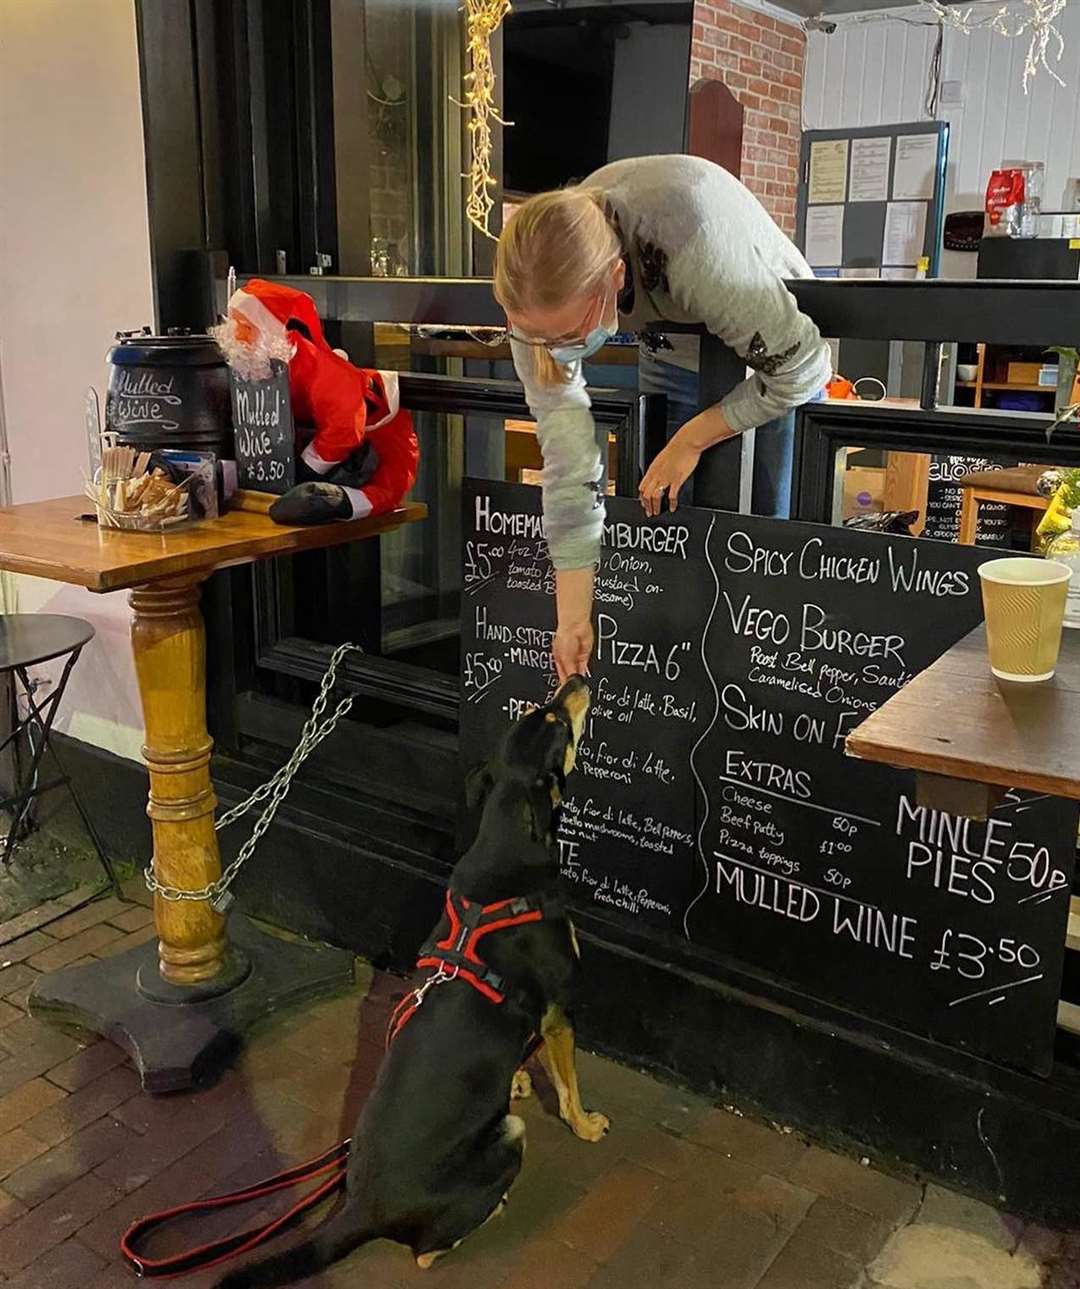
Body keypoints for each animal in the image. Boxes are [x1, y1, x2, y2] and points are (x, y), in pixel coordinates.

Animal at [217, 680, 608, 1283]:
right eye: (556, 722)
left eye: (543, 711)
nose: (577, 680)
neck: (506, 838)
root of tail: (359, 1210)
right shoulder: (561, 1010)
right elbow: (567, 1085)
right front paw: (584, 1124)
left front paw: (518, 1077)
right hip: (508, 1139)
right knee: (426, 1252)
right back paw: (489, 1210)